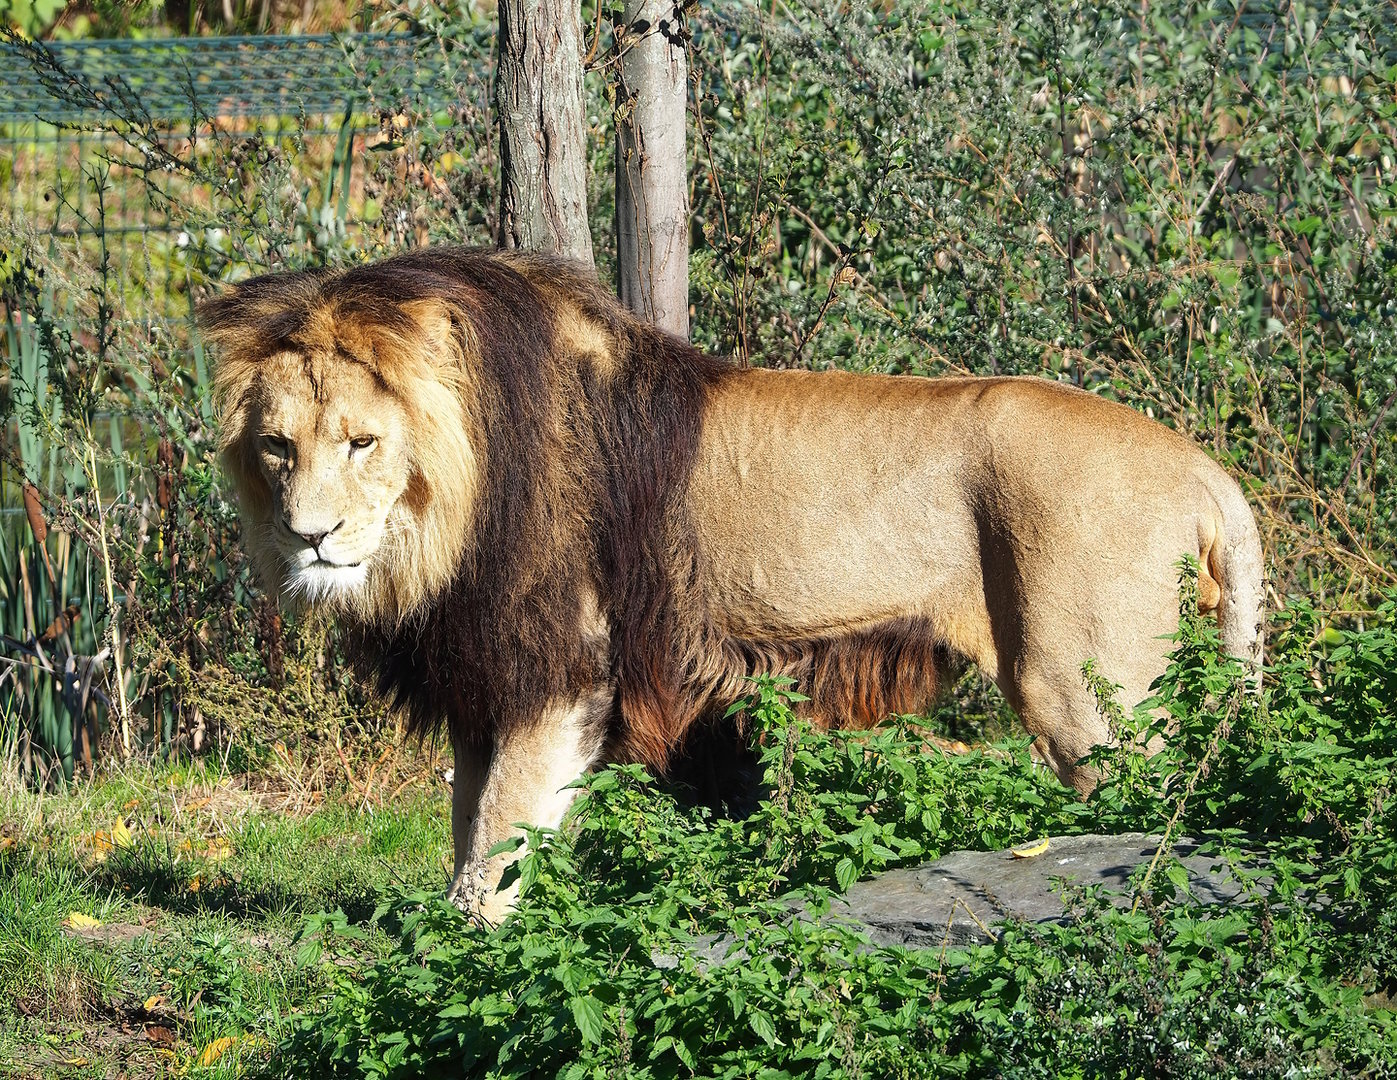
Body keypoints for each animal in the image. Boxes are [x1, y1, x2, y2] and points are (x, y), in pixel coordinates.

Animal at [200, 246, 1264, 922]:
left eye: (362, 442)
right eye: (277, 447)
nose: (309, 538)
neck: (444, 520)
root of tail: (1203, 468)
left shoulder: (564, 669)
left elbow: (497, 845)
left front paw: (462, 964)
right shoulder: (485, 677)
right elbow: (469, 827)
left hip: (1088, 696)